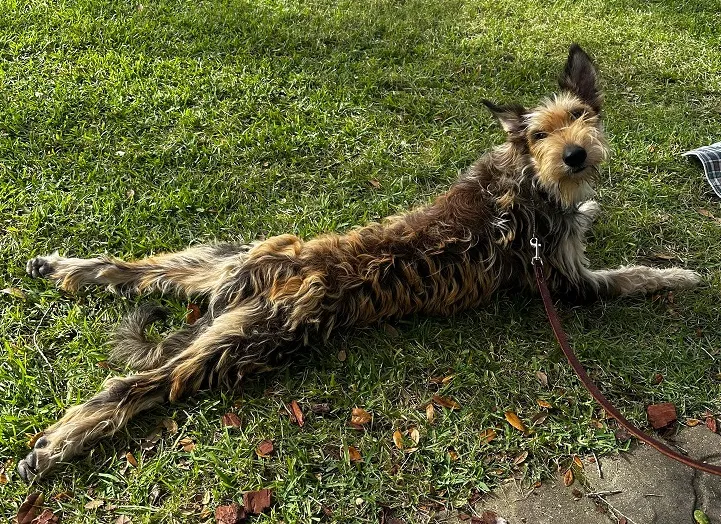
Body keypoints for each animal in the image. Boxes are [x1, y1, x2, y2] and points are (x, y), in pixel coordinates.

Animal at [16, 43, 696, 482]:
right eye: (539, 134)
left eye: (580, 116)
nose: (576, 156)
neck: (523, 180)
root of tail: (258, 278)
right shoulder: (564, 282)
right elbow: (630, 275)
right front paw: (679, 274)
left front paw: (595, 208)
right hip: (246, 342)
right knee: (137, 385)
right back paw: (54, 445)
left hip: (222, 261)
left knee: (143, 269)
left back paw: (62, 268)